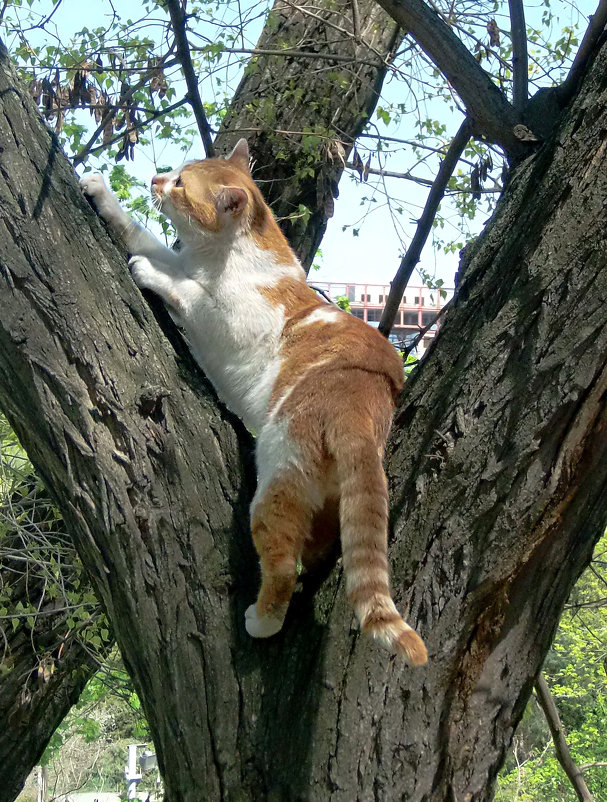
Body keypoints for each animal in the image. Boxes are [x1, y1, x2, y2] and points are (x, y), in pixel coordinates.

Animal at [81, 139, 430, 664]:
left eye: (180, 183)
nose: (156, 179)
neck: (220, 255)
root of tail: (361, 402)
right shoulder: (181, 259)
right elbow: (141, 235)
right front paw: (99, 190)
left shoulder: (221, 317)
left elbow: (182, 287)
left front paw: (147, 273)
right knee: (315, 555)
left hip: (277, 476)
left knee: (283, 564)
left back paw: (261, 622)